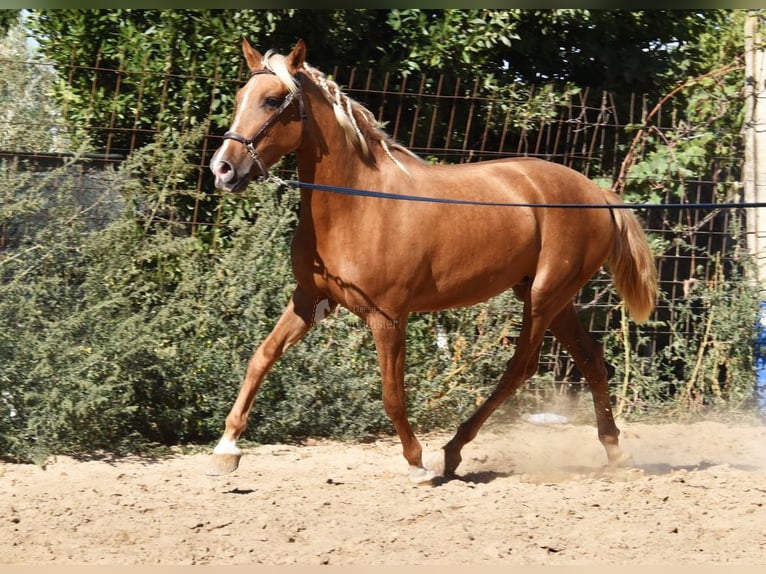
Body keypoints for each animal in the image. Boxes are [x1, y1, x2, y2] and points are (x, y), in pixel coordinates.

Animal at [206, 38, 660, 484]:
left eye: (272, 100)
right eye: (240, 97)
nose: (223, 169)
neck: (358, 204)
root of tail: (598, 194)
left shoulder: (388, 317)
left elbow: (392, 394)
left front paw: (416, 463)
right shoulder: (310, 298)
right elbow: (261, 357)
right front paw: (226, 450)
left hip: (545, 297)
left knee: (521, 367)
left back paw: (453, 450)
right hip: (549, 296)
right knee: (591, 359)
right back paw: (614, 451)